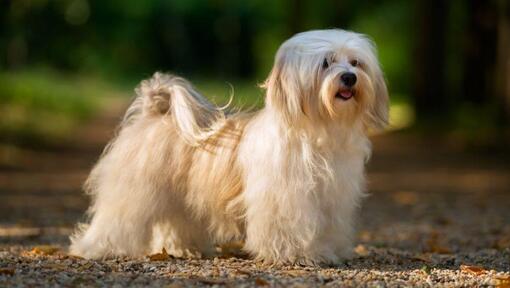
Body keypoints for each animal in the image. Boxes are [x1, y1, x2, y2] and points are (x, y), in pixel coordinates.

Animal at [69, 28, 388, 264]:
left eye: (356, 63)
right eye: (326, 63)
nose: (349, 77)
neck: (318, 132)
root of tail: (155, 109)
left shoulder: (333, 199)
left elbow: (329, 227)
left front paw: (328, 252)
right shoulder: (286, 199)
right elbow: (289, 227)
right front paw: (297, 255)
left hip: (180, 197)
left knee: (176, 222)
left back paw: (184, 249)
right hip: (133, 191)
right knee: (116, 220)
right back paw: (96, 249)